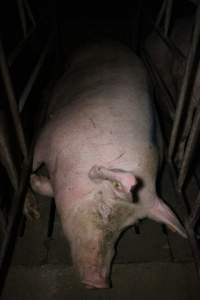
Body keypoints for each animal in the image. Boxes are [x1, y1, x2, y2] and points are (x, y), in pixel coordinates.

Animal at [27, 40, 187, 288]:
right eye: (103, 209)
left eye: (128, 226)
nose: (99, 283)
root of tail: (107, 40)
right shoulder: (48, 135)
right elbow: (32, 162)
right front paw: (32, 183)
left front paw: (36, 181)